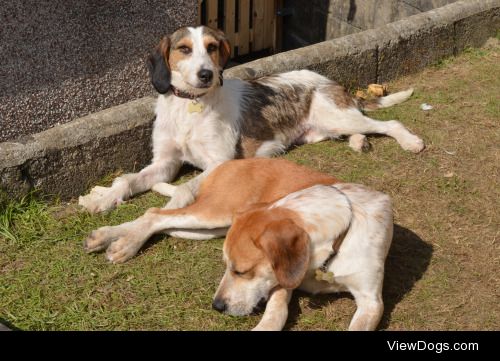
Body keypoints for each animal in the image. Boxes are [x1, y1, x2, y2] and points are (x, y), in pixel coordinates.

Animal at [79, 26, 422, 215]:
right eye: (184, 49)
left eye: (212, 48)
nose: (207, 74)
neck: (190, 105)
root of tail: (332, 81)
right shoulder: (165, 162)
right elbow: (128, 180)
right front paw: (105, 198)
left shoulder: (220, 163)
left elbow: (185, 188)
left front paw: (171, 208)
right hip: (324, 129)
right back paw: (359, 143)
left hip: (337, 116)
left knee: (388, 124)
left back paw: (409, 141)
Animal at [84, 159, 392, 330]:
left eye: (241, 271)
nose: (216, 306)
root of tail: (231, 161)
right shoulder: (281, 280)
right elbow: (276, 312)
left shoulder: (372, 302)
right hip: (214, 213)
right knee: (155, 213)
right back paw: (118, 242)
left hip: (208, 228)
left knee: (163, 223)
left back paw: (116, 239)